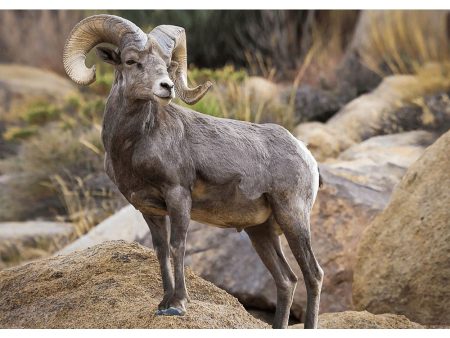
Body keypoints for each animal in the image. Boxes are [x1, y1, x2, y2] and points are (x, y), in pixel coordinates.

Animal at [63, 14, 324, 328]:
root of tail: (305, 153)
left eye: (166, 65)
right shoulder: (149, 210)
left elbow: (178, 246)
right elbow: (161, 251)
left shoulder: (178, 197)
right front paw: (163, 303)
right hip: (260, 231)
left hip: (292, 216)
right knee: (286, 280)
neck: (134, 145)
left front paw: (178, 305)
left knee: (313, 275)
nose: (166, 87)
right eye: (130, 61)